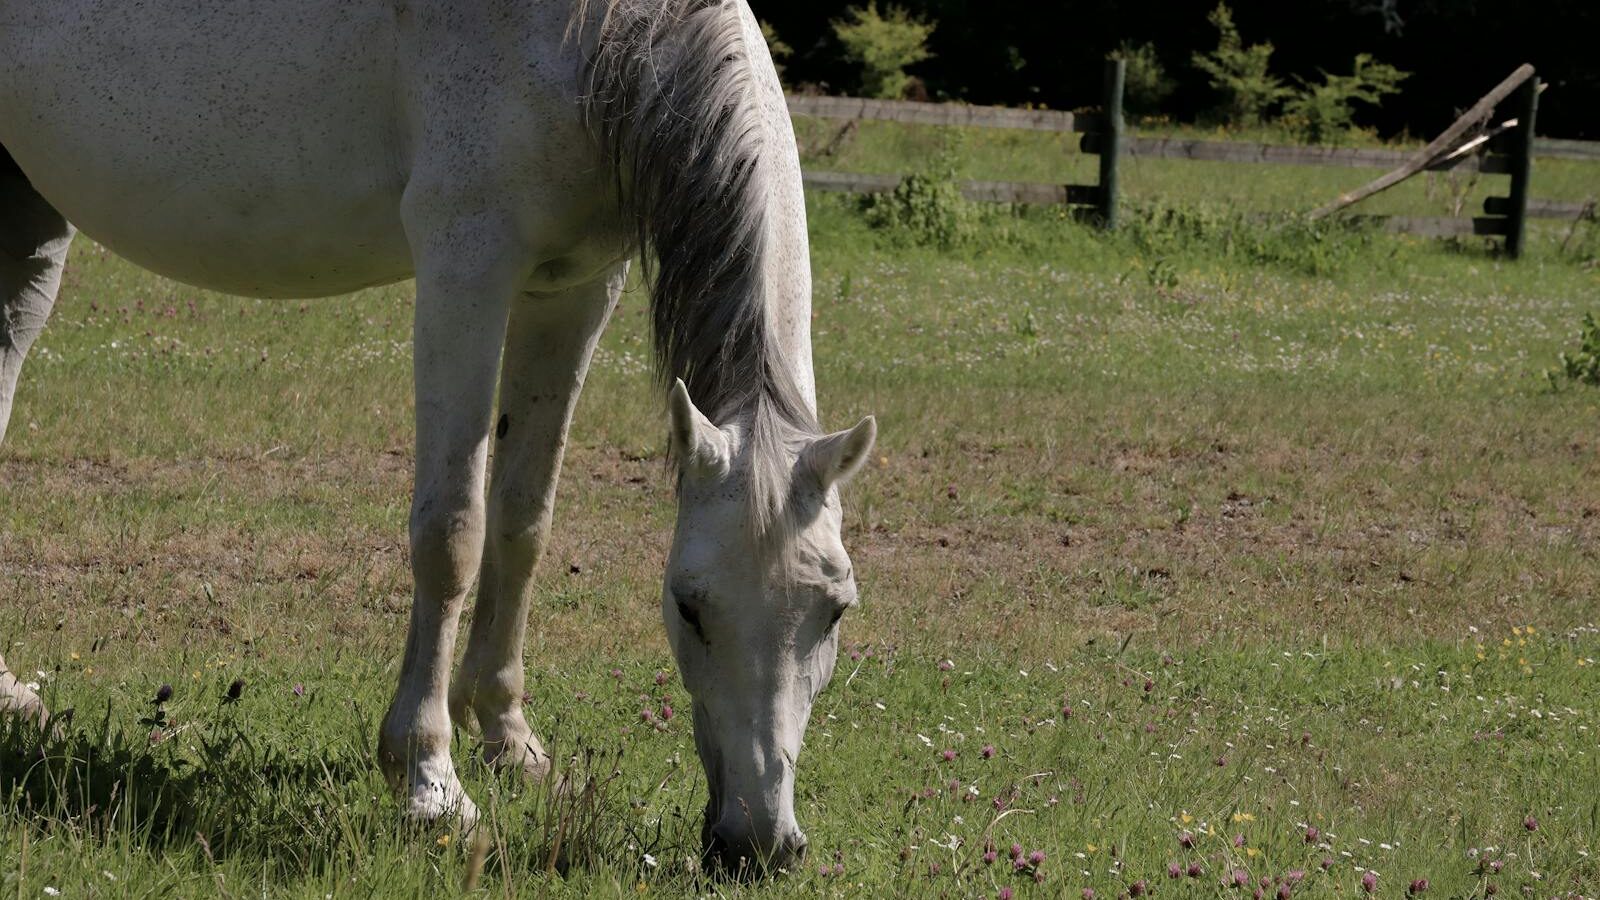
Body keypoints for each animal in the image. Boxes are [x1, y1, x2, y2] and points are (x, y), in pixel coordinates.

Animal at [0, 0, 875, 873]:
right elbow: (452, 532)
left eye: (835, 612)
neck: (589, 36)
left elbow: (523, 523)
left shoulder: (577, 286)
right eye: (687, 606)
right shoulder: (467, 265)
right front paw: (430, 782)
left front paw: (509, 741)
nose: (759, 844)